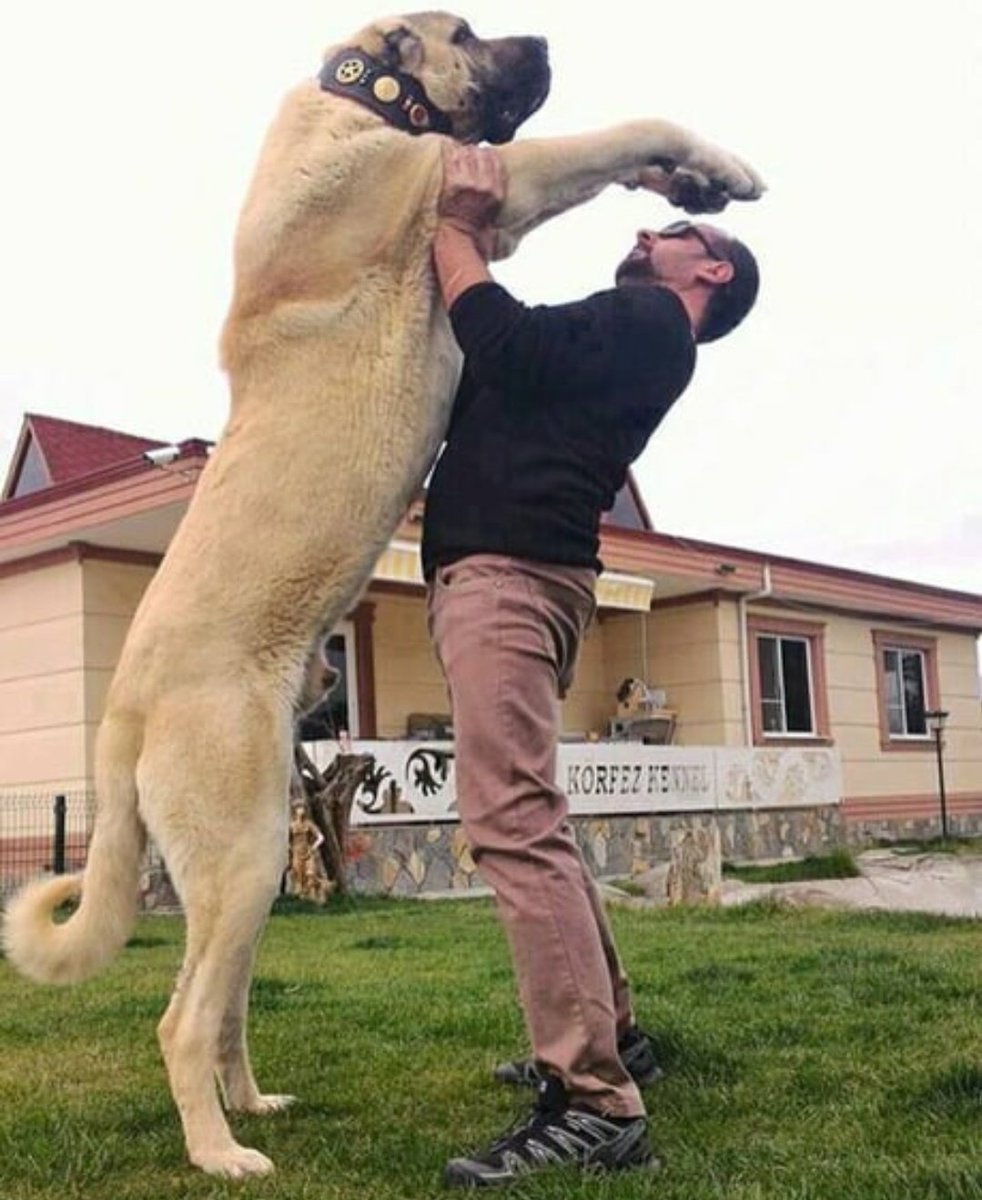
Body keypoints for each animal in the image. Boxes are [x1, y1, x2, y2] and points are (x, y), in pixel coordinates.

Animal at [0, 7, 763, 1171]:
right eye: (468, 31)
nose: (545, 41)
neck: (360, 105)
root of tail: (121, 708)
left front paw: (697, 184)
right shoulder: (485, 184)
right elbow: (621, 128)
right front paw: (720, 165)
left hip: (257, 852)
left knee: (220, 1000)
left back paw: (250, 1104)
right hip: (240, 847)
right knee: (182, 1016)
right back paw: (219, 1153)